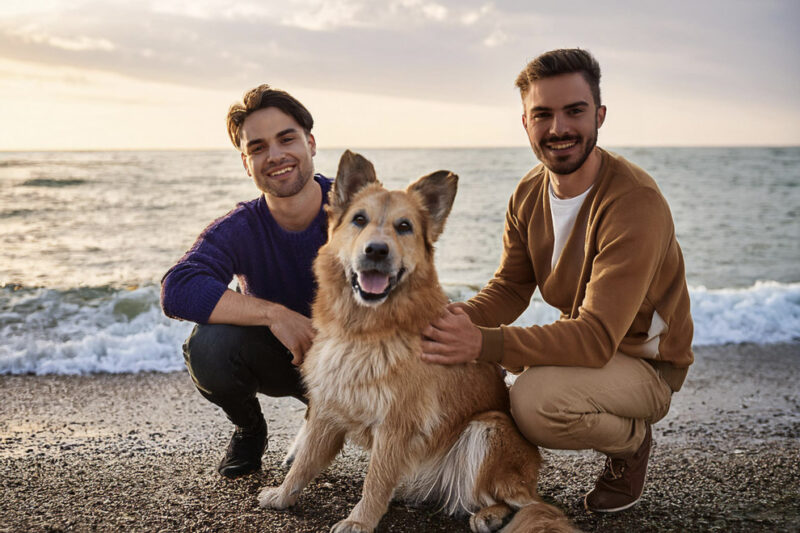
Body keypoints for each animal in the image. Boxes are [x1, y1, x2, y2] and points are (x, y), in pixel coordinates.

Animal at [260, 150, 572, 532]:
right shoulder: (328, 410)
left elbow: (375, 479)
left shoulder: (397, 425)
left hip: (488, 428)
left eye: (404, 226)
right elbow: (305, 462)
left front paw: (359, 521)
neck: (364, 331)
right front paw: (282, 495)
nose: (376, 251)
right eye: (359, 219)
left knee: (530, 504)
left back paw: (491, 515)